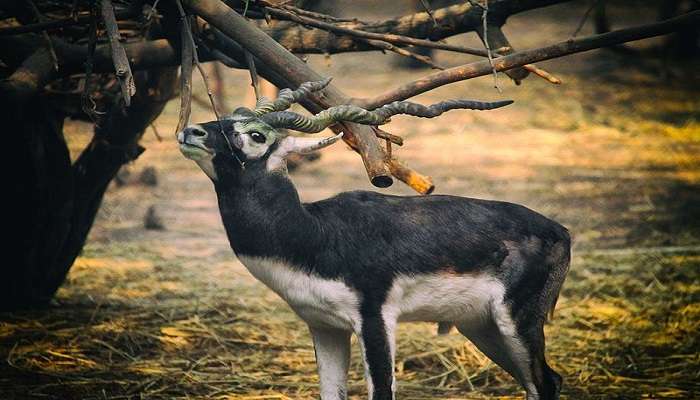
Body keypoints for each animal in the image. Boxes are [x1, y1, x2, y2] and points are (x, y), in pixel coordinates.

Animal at [178, 79, 572, 400]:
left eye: (257, 135)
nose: (191, 132)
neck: (315, 232)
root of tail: (560, 231)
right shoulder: (324, 326)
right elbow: (330, 393)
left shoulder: (375, 318)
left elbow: (382, 391)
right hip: (481, 326)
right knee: (541, 382)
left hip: (517, 321)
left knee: (545, 383)